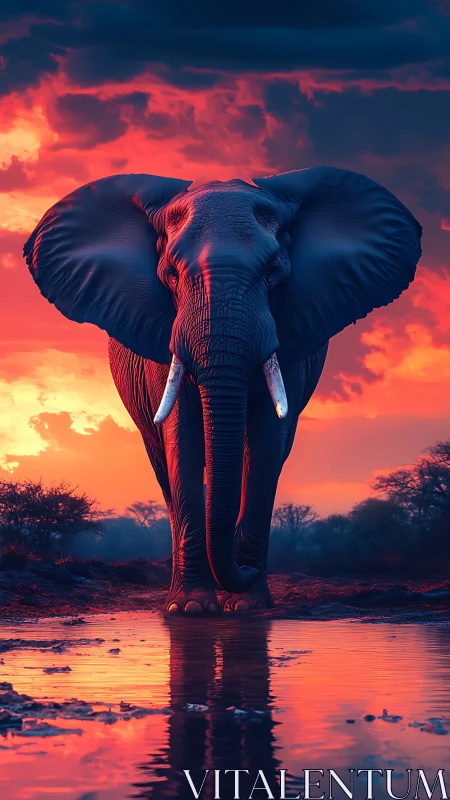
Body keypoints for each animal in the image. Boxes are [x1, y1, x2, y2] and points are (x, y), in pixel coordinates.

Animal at [23, 167, 422, 615]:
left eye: (273, 272)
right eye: (172, 274)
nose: (242, 571)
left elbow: (265, 446)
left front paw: (247, 605)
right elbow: (182, 439)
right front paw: (192, 609)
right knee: (166, 470)